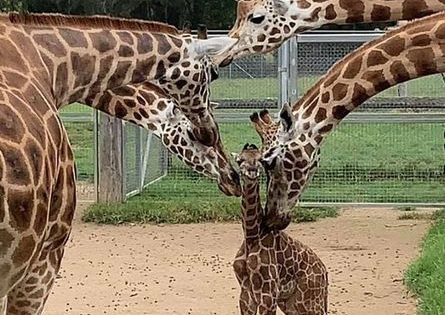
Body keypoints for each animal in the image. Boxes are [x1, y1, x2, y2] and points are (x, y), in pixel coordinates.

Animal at [232, 144, 326, 314]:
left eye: (261, 160)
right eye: (240, 160)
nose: (252, 170)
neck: (251, 235)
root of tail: (325, 273)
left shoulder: (268, 294)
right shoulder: (245, 294)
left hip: (312, 301)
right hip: (291, 303)